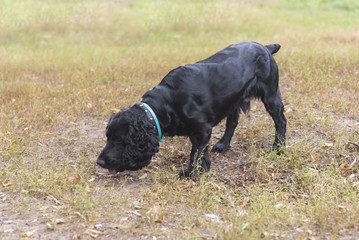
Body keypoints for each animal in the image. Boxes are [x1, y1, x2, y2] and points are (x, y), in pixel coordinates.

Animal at [97, 42, 286, 179]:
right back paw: (223, 145)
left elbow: (195, 153)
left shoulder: (202, 129)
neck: (167, 102)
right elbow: (201, 151)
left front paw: (191, 173)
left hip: (270, 95)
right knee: (232, 123)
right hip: (233, 100)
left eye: (119, 139)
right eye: (108, 137)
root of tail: (265, 47)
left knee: (281, 121)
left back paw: (279, 147)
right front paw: (203, 168)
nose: (99, 161)